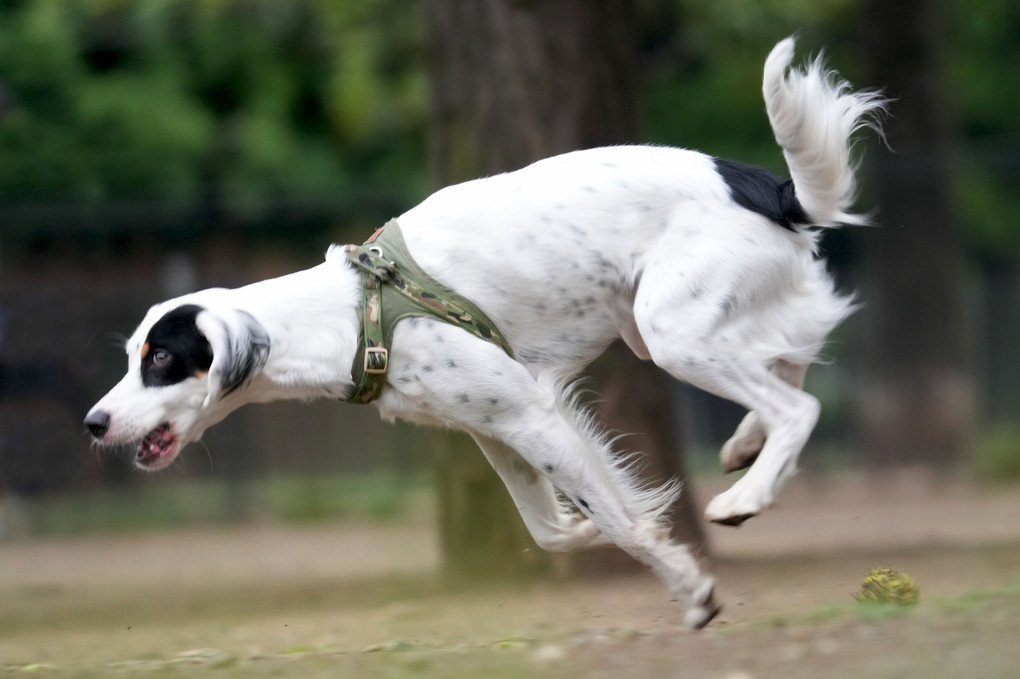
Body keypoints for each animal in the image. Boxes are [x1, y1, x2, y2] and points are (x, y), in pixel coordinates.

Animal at [85, 39, 885, 628]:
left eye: (162, 358)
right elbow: (558, 526)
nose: (93, 422)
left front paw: (691, 589)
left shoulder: (528, 414)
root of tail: (768, 188)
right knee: (794, 360)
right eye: (131, 356)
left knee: (800, 406)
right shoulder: (494, 429)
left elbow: (615, 522)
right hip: (663, 327)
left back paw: (746, 495)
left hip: (672, 334)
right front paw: (604, 529)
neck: (351, 313)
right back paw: (746, 446)